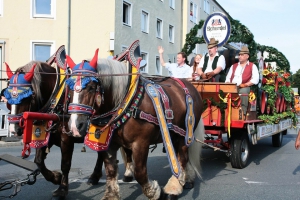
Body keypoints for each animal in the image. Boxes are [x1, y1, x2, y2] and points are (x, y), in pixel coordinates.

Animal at [66, 49, 204, 199]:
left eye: (91, 87)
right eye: (69, 87)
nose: (75, 126)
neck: (126, 102)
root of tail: (189, 86)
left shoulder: (140, 143)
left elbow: (140, 172)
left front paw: (154, 192)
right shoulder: (110, 143)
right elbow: (111, 170)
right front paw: (111, 195)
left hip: (185, 133)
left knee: (182, 157)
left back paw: (174, 187)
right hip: (173, 133)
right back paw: (187, 179)